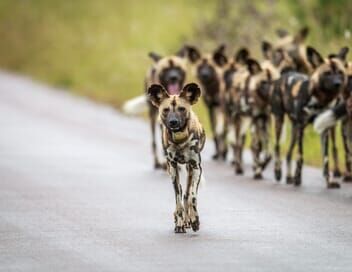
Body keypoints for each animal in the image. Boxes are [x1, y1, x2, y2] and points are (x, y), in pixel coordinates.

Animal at [147, 83, 205, 234]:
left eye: (182, 109)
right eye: (166, 110)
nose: (173, 122)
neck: (180, 140)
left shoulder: (196, 167)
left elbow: (192, 197)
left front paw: (194, 220)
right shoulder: (173, 168)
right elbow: (178, 199)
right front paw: (179, 223)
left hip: (190, 170)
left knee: (187, 194)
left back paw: (189, 219)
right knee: (181, 195)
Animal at [270, 45, 350, 188]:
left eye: (340, 72)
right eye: (327, 73)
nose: (338, 84)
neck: (321, 100)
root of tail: (287, 73)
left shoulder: (324, 129)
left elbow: (326, 159)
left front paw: (329, 182)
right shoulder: (302, 127)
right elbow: (300, 156)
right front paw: (298, 179)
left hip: (295, 131)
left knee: (289, 153)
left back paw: (289, 177)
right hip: (280, 121)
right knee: (277, 147)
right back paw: (278, 172)